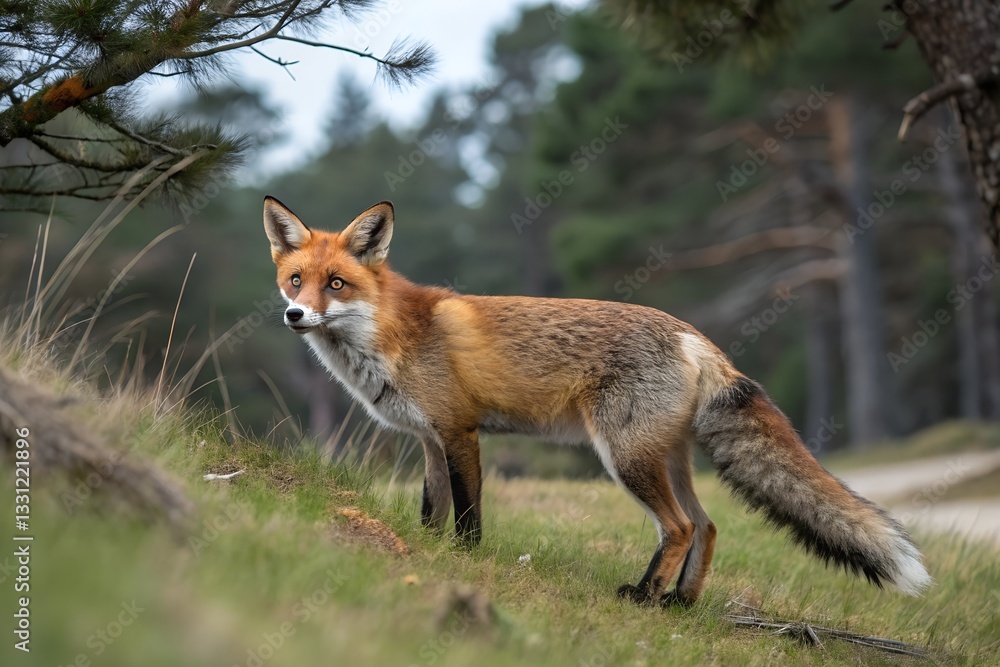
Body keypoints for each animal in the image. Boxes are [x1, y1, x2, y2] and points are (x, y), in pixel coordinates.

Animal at [262, 196, 932, 605]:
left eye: (337, 284)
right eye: (296, 281)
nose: (295, 315)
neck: (392, 335)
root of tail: (693, 335)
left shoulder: (459, 433)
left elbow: (469, 516)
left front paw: (465, 561)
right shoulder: (429, 440)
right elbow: (431, 509)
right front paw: (425, 549)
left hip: (625, 457)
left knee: (680, 526)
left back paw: (644, 597)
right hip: (664, 458)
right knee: (708, 524)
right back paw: (680, 605)